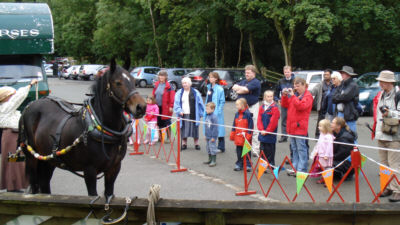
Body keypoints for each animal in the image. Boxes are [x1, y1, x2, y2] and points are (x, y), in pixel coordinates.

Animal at [18, 60, 146, 199]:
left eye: (133, 80)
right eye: (118, 82)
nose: (141, 107)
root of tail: (31, 105)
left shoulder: (114, 168)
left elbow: (109, 194)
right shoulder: (89, 171)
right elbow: (93, 195)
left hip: (48, 160)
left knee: (44, 183)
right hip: (31, 158)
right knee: (35, 184)